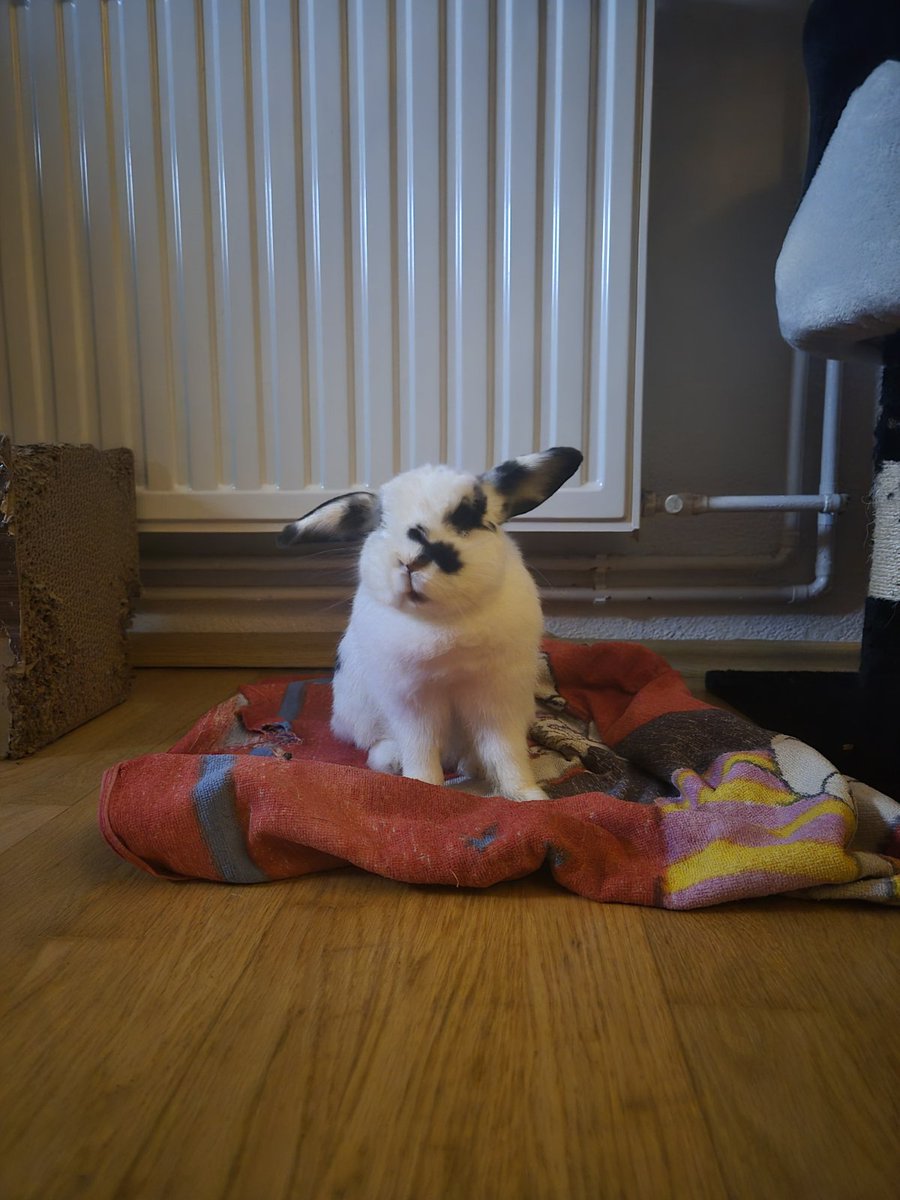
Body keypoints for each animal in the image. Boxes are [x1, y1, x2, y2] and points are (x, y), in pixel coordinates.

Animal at [278, 446, 583, 801]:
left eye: (466, 516)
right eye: (380, 523)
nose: (410, 561)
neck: (443, 620)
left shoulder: (498, 699)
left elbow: (506, 751)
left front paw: (528, 797)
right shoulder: (412, 703)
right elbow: (421, 750)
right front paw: (423, 788)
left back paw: (472, 767)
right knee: (379, 745)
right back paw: (391, 761)